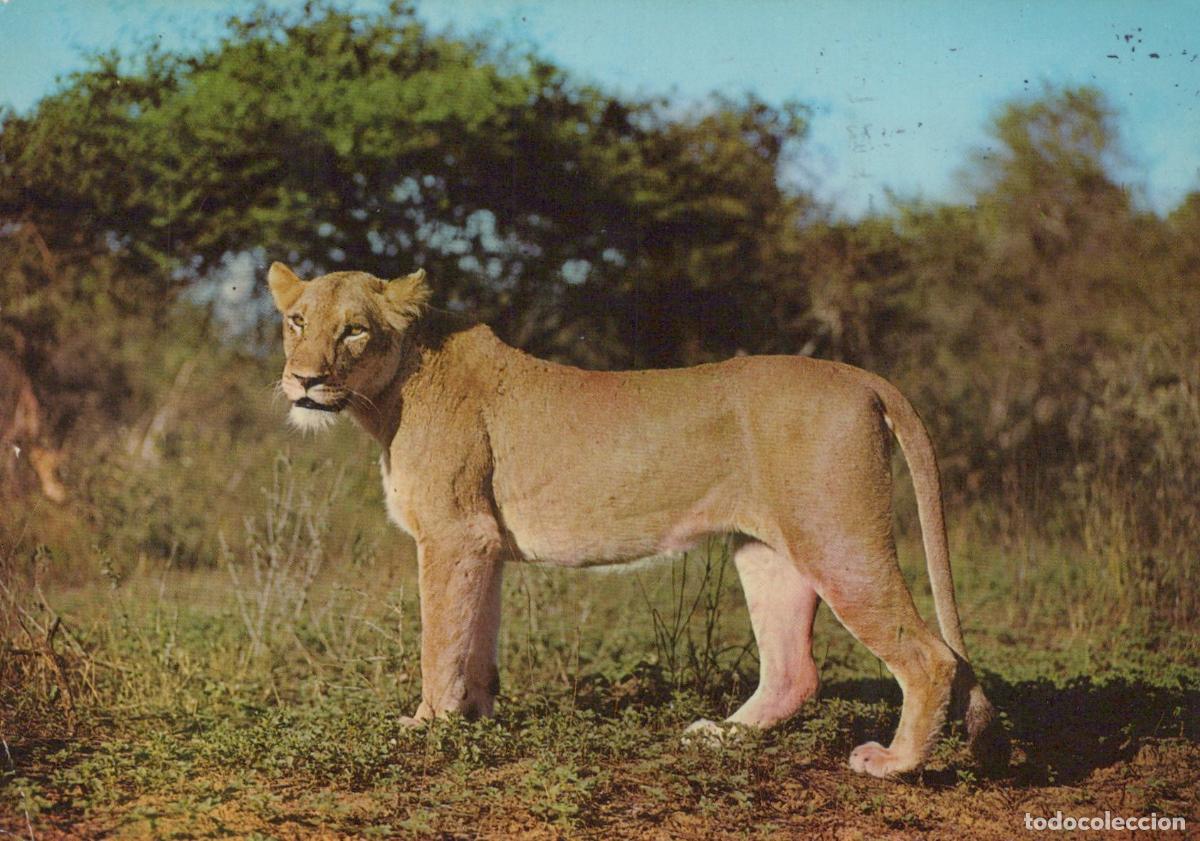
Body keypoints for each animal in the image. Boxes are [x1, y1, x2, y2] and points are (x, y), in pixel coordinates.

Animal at [267, 262, 1007, 778]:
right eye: (296, 321)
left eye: (354, 329)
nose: (303, 380)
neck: (385, 398)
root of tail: (862, 377)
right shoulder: (482, 544)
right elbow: (474, 639)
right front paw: (474, 717)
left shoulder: (453, 534)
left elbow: (438, 640)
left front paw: (427, 726)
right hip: (767, 549)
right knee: (795, 669)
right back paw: (721, 735)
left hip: (838, 537)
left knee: (931, 657)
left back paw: (893, 764)